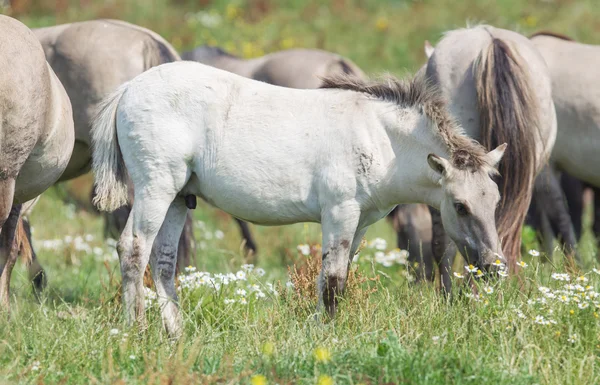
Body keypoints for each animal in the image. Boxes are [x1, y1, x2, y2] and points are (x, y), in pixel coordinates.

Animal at [92, 60, 506, 336]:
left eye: (495, 201)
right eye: (460, 206)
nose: (495, 267)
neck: (379, 137)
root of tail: (128, 89)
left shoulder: (359, 223)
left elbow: (335, 277)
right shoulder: (339, 212)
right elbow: (335, 279)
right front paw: (327, 335)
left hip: (179, 198)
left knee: (163, 262)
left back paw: (176, 334)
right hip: (156, 188)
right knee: (133, 249)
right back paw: (137, 331)